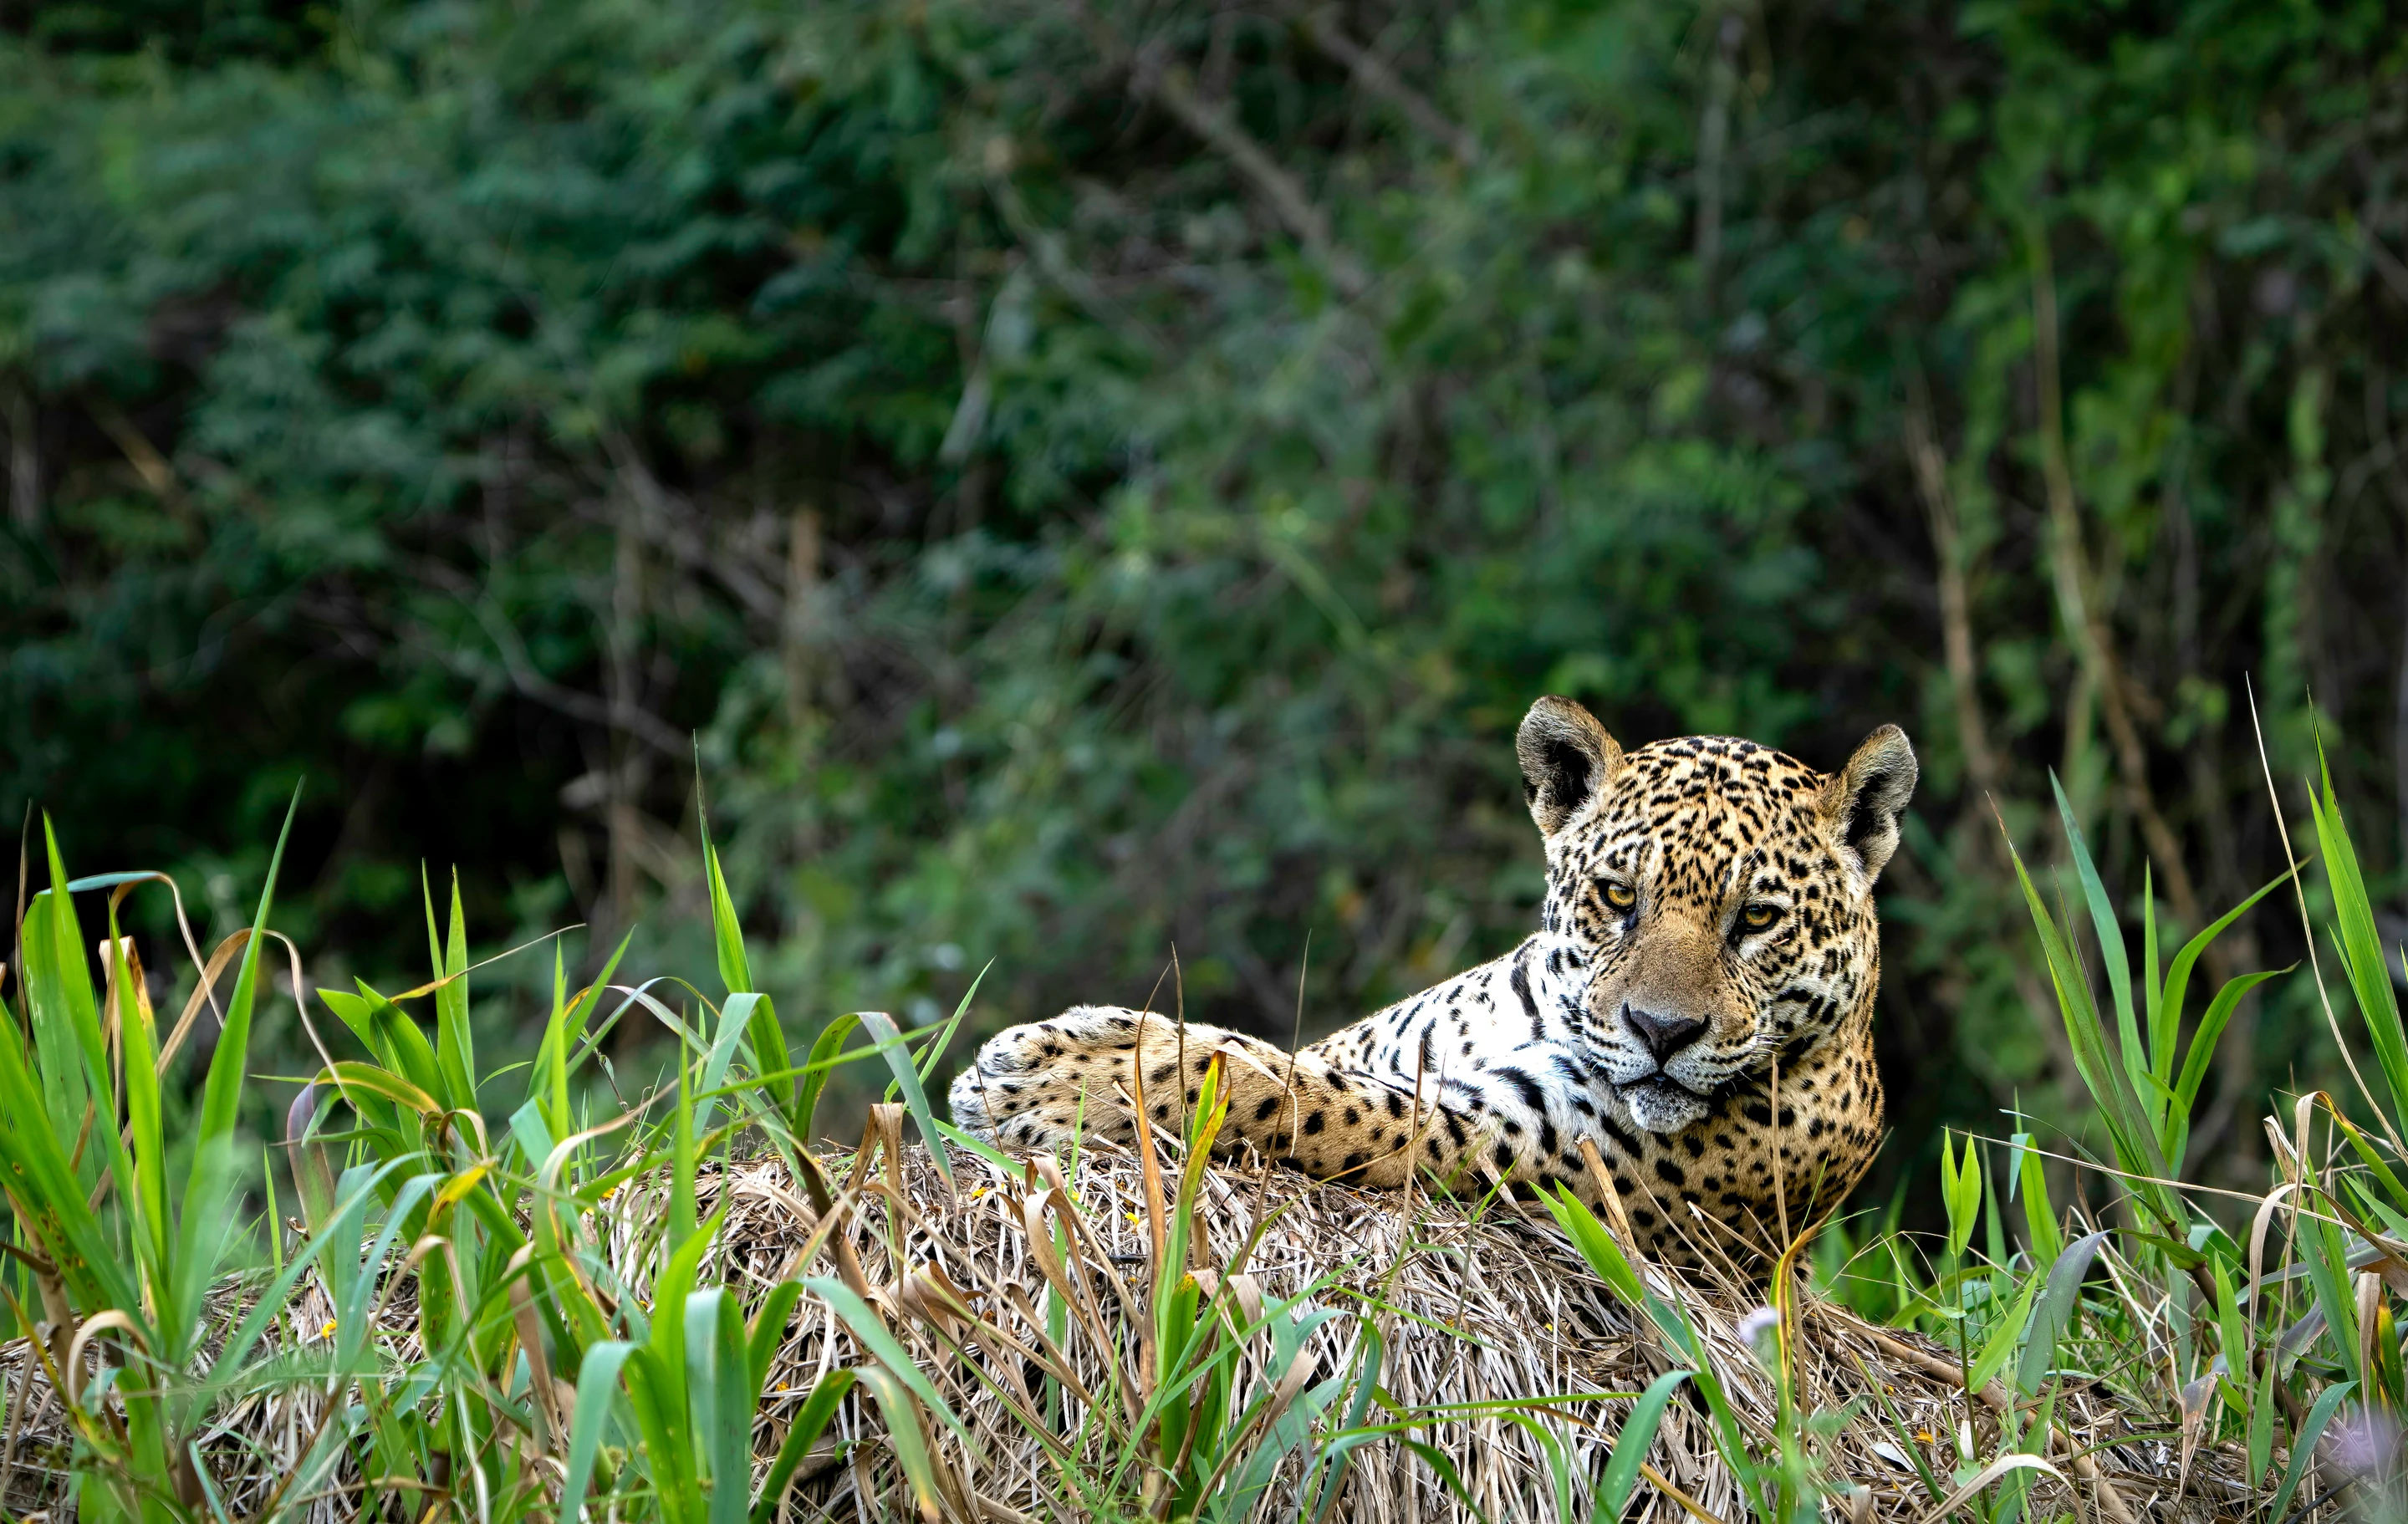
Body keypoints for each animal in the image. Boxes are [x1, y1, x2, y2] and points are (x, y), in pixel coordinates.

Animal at [947, 695, 1916, 1266]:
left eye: (1756, 918)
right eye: (1618, 895)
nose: (1661, 1031)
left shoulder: (1517, 1145)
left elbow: (1302, 1095)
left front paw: (1059, 1079)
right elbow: (1283, 1057)